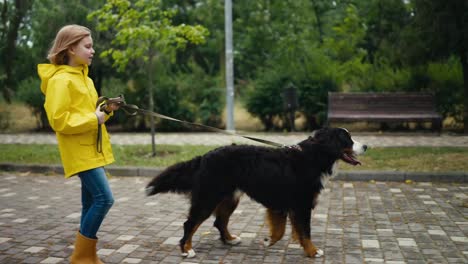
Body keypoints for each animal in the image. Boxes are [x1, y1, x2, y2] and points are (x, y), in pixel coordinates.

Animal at [145, 127, 366, 258]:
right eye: (347, 139)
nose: (365, 145)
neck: (315, 156)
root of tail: (205, 156)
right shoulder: (300, 204)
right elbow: (305, 231)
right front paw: (313, 251)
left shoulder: (283, 205)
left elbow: (283, 230)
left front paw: (270, 240)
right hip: (208, 198)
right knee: (190, 224)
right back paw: (187, 249)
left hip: (230, 198)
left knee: (219, 221)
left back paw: (230, 239)